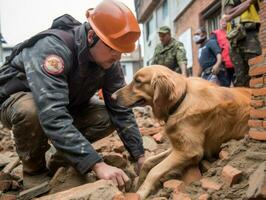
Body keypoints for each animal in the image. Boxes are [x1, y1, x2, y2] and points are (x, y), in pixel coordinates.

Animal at [112, 65, 251, 199]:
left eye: (138, 81)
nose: (112, 97)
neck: (181, 101)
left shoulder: (189, 151)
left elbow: (155, 170)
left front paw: (142, 192)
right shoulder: (177, 147)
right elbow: (148, 161)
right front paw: (138, 185)